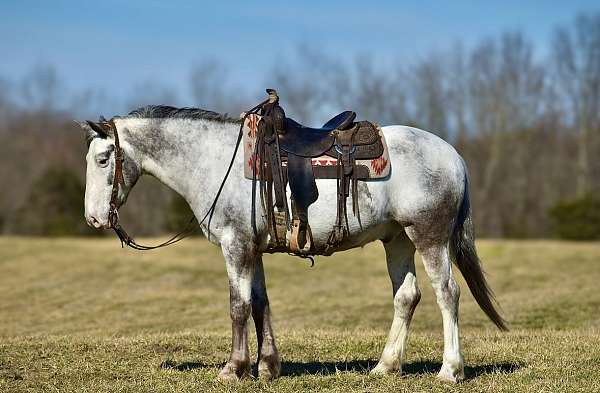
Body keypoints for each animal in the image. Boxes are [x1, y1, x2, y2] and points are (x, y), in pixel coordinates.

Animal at [77, 105, 504, 382]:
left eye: (103, 160)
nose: (94, 219)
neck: (214, 161)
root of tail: (452, 155)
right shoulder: (253, 249)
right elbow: (260, 304)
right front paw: (267, 366)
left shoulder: (236, 245)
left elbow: (238, 307)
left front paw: (233, 369)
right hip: (397, 239)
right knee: (407, 297)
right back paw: (385, 366)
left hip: (428, 236)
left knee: (447, 294)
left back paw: (450, 370)